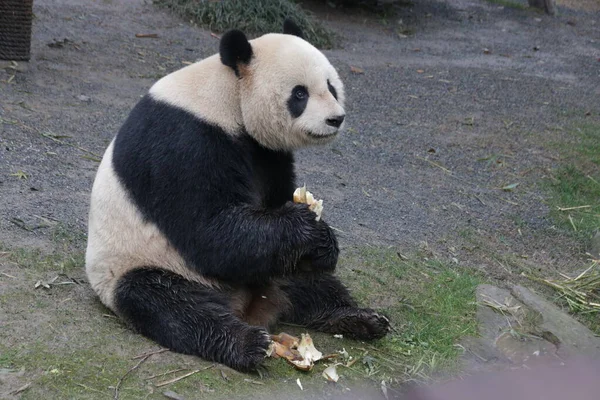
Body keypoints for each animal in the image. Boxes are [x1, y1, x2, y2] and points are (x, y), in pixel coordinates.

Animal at [86, 19, 392, 372]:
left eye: (330, 86)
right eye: (299, 93)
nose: (335, 119)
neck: (227, 96)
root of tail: (250, 306)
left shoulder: (267, 152)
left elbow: (273, 204)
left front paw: (324, 240)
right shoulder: (185, 141)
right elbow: (209, 232)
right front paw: (305, 224)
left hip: (270, 271)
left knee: (308, 280)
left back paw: (359, 318)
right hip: (141, 265)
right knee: (169, 303)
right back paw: (247, 343)